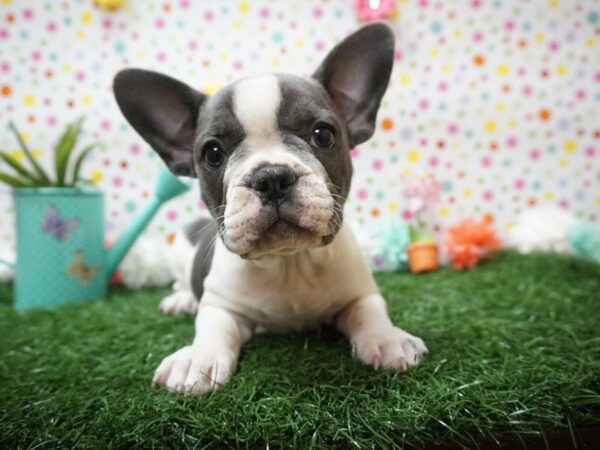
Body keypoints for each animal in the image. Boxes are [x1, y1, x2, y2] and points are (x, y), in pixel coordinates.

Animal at [112, 22, 428, 394]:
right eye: (213, 154)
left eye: (323, 135)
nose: (272, 176)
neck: (289, 262)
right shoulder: (221, 304)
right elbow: (212, 326)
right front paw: (198, 357)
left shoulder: (360, 292)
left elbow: (370, 312)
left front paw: (388, 338)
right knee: (182, 284)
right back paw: (182, 300)